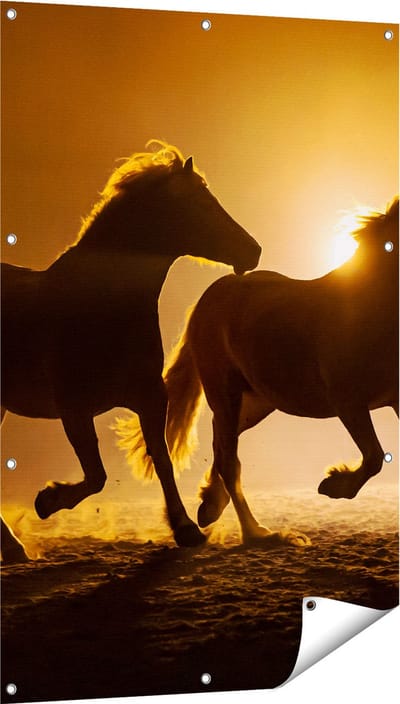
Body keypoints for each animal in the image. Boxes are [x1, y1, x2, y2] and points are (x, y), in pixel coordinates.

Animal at [0, 141, 261, 562]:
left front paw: (186, 528)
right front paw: (47, 500)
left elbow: (162, 460)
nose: (253, 251)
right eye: (201, 204)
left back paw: (13, 547)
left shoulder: (150, 398)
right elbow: (96, 475)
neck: (104, 308)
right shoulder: (74, 407)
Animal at [116, 197, 398, 546]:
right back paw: (255, 531)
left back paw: (210, 507)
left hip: (255, 403)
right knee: (228, 460)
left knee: (222, 443)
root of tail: (216, 290)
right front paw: (332, 485)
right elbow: (373, 457)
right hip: (226, 393)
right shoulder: (348, 402)